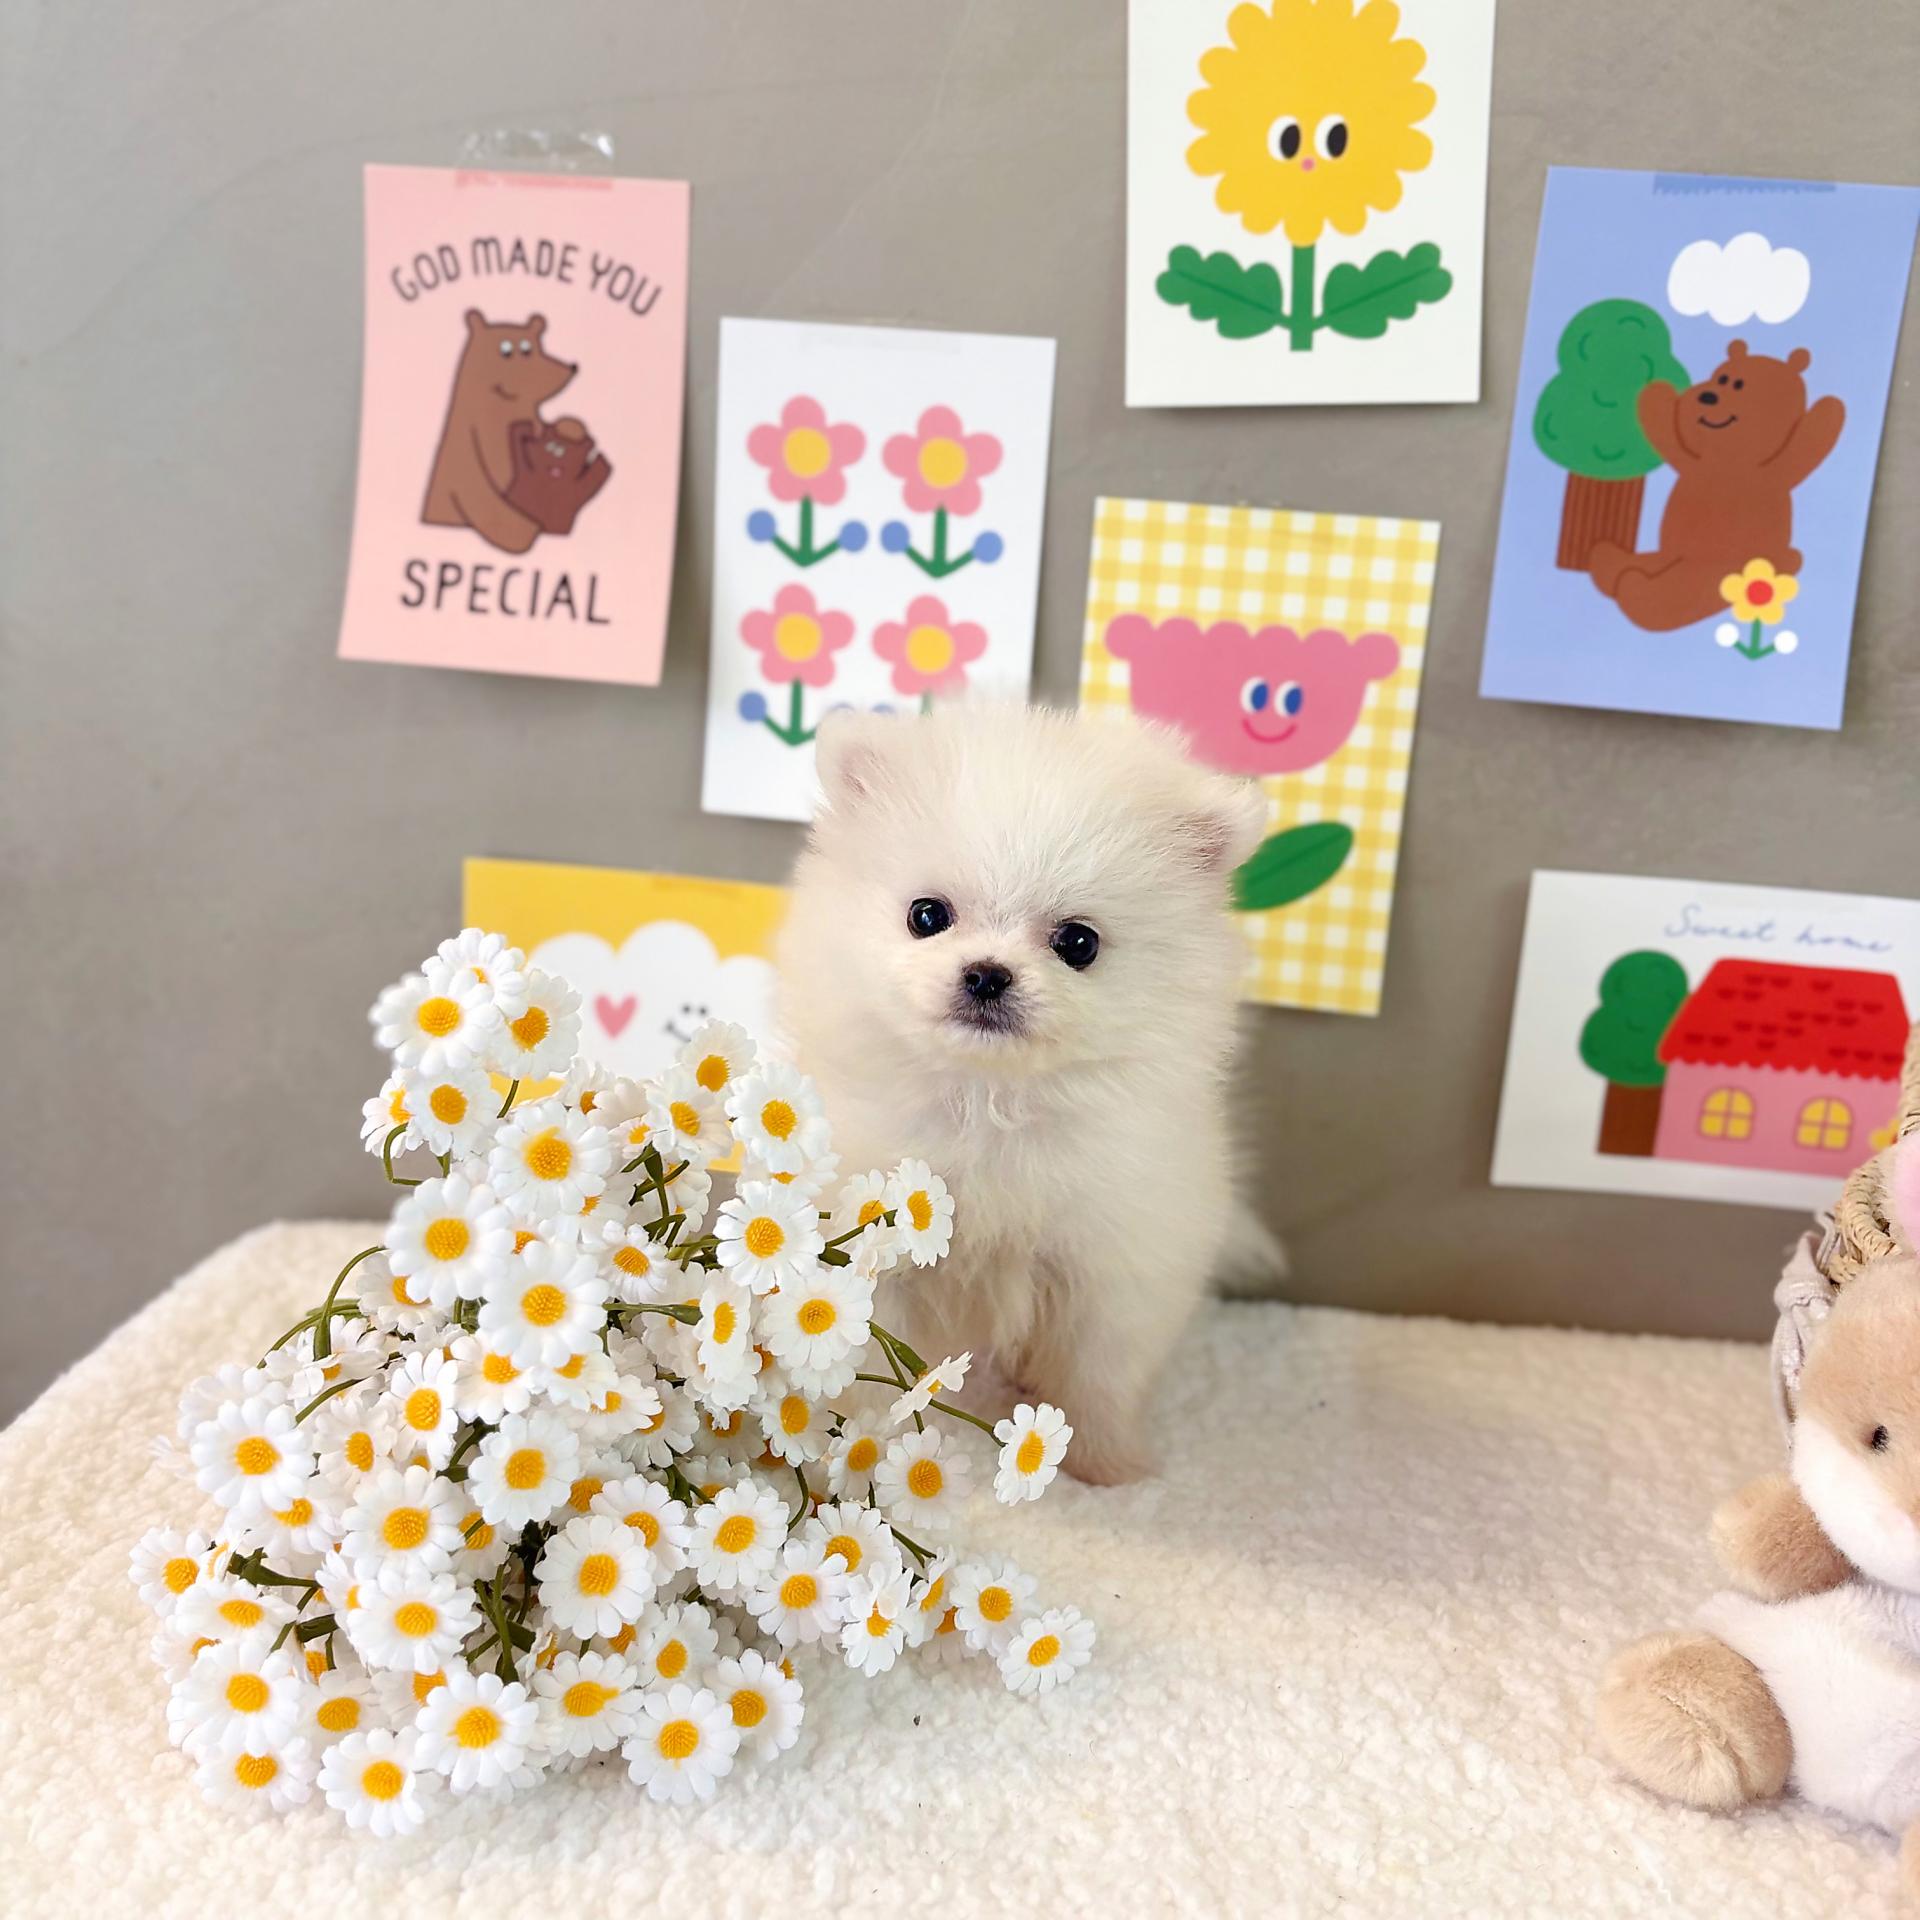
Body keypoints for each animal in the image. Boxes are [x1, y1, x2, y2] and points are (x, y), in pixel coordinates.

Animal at [777, 702, 1278, 1484]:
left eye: (1078, 943)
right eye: (927, 915)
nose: (987, 973)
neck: (990, 1102)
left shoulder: (1115, 1264)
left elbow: (1102, 1371)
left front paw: (1105, 1464)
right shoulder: (876, 1253)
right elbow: (869, 1358)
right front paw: (866, 1444)